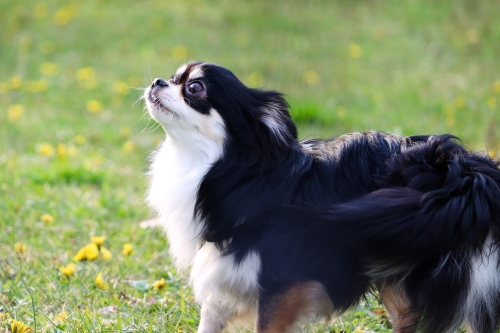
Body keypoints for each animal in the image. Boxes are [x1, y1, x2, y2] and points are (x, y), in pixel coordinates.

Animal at [143, 61, 500, 332]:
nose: (156, 81)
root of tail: (464, 166)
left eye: (194, 88)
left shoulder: (283, 280)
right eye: (173, 78)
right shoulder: (222, 269)